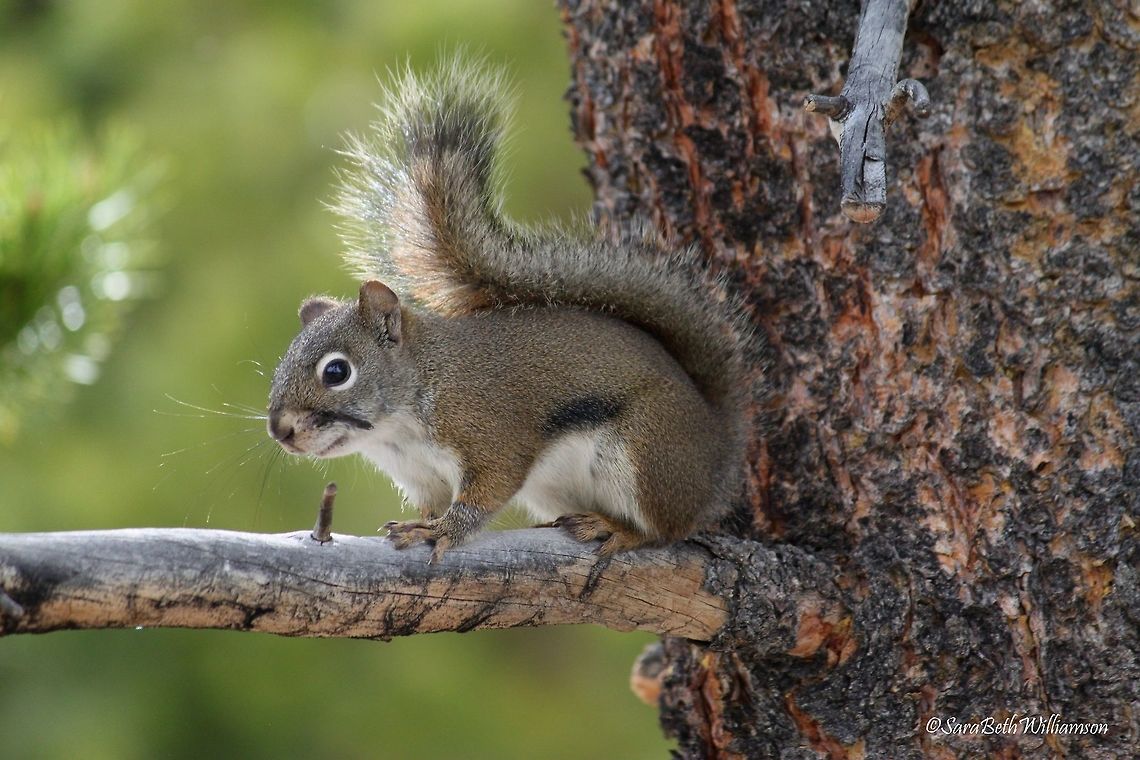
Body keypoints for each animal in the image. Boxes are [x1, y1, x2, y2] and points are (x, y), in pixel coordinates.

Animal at [267, 57, 753, 562]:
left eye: (336, 372)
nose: (279, 430)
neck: (404, 415)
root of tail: (718, 455)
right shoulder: (420, 475)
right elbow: (432, 502)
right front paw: (422, 523)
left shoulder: (490, 433)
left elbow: (486, 491)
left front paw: (443, 531)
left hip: (646, 454)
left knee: (664, 527)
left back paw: (616, 529)